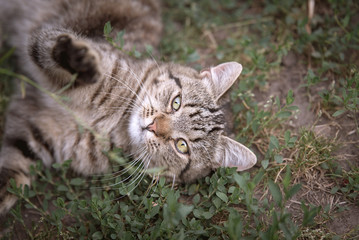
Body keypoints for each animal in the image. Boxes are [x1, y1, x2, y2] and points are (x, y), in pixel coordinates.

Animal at [0, 0, 258, 215]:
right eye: (176, 102)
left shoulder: (38, 129)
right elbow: (55, 48)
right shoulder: (49, 39)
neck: (114, 120)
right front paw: (78, 60)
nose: (154, 126)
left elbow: (15, 167)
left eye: (181, 146)